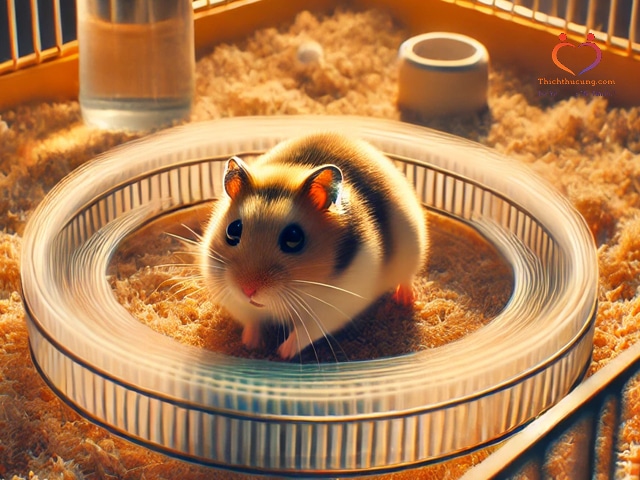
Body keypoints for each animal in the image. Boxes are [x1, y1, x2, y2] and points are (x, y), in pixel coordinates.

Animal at [198, 132, 428, 360]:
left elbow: (303, 333)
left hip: (412, 248)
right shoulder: (239, 303)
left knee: (406, 277)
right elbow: (252, 321)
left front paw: (282, 353)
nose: (248, 290)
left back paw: (405, 299)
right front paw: (251, 345)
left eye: (293, 238)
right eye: (232, 231)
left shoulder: (331, 310)